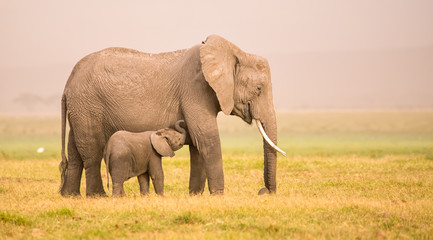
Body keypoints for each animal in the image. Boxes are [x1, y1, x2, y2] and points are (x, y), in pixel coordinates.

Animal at [59, 35, 286, 197]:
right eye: (258, 89)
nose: (264, 192)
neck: (234, 53)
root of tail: (67, 84)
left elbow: (197, 143)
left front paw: (195, 196)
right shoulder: (195, 90)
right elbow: (207, 138)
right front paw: (218, 196)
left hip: (80, 109)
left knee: (75, 149)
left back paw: (71, 196)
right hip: (88, 106)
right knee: (92, 152)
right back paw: (98, 196)